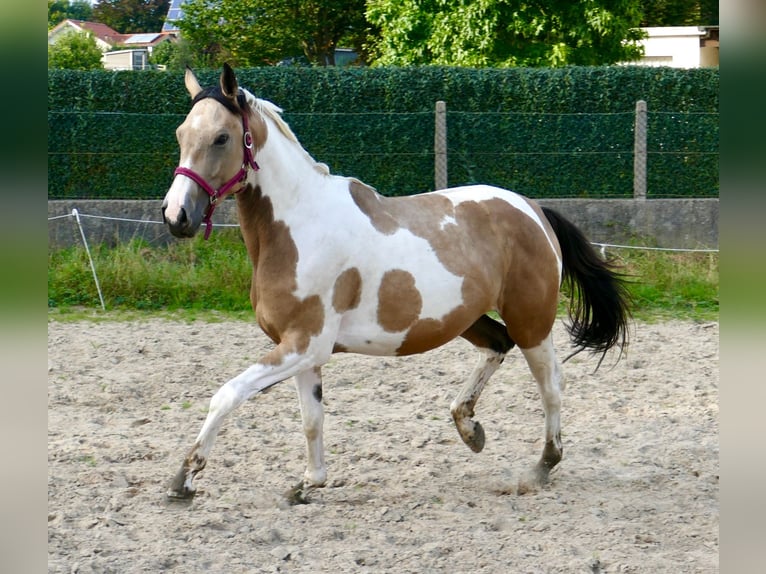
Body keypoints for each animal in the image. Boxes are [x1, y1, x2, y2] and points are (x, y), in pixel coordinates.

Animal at [160, 64, 632, 504]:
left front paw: (183, 480)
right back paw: (469, 428)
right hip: (466, 318)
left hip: (531, 320)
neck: (298, 226)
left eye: (221, 137)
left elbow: (227, 394)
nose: (176, 215)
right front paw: (308, 484)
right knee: (498, 345)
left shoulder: (305, 343)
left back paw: (541, 466)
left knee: (550, 385)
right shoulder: (300, 349)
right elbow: (312, 420)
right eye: (181, 133)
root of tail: (533, 209)